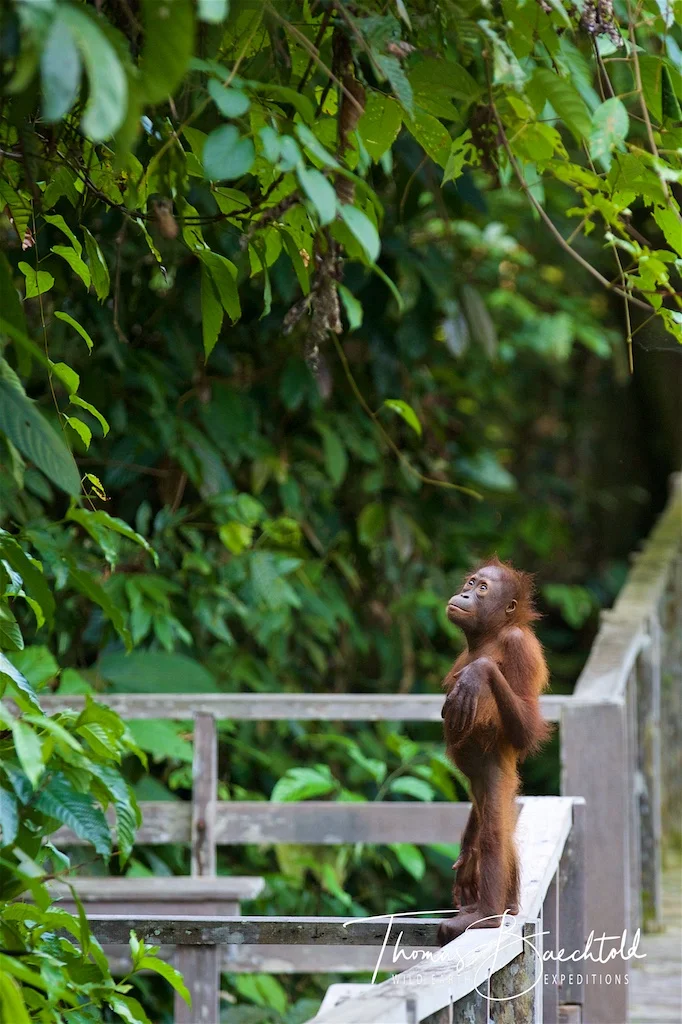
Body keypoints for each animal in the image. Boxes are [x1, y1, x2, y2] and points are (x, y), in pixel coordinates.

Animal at [437, 557, 550, 944]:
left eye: (483, 588)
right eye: (470, 582)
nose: (465, 593)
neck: (488, 638)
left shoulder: (520, 646)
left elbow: (527, 727)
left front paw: (479, 672)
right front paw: (464, 862)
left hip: (497, 774)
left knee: (494, 835)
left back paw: (485, 916)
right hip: (484, 788)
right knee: (486, 819)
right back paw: (506, 906)